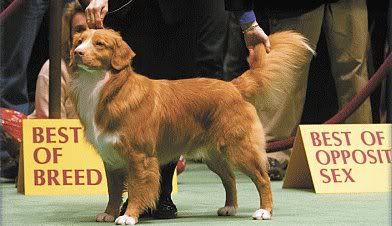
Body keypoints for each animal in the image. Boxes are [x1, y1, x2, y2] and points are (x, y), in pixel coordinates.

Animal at [69, 28, 312, 224]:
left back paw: (264, 211)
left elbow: (138, 188)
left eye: (99, 44)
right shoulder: (111, 158)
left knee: (262, 178)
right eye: (80, 41)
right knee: (230, 178)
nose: (77, 53)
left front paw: (129, 216)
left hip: (240, 148)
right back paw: (230, 207)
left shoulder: (139, 157)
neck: (107, 88)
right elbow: (113, 191)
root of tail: (233, 87)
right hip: (214, 155)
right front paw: (109, 213)